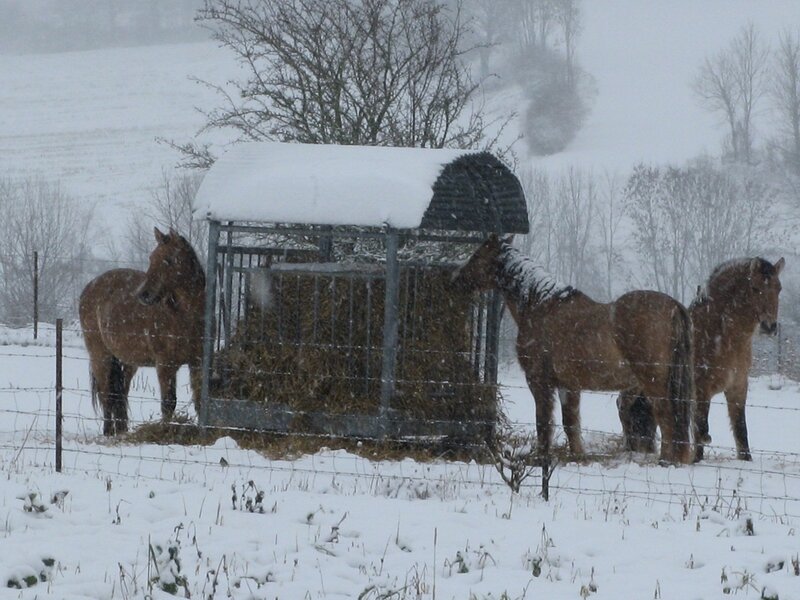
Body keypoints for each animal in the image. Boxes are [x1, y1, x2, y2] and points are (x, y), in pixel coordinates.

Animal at [79, 228, 206, 435]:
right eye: (151, 258)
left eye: (168, 260)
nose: (143, 295)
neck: (184, 317)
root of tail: (90, 286)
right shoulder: (165, 365)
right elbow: (168, 403)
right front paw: (164, 432)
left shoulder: (198, 361)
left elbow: (200, 400)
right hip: (101, 355)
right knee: (107, 395)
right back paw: (108, 432)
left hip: (127, 360)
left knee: (120, 394)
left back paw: (121, 431)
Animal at [453, 235, 695, 464]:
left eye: (478, 255)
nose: (457, 279)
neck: (541, 307)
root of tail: (673, 306)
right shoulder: (568, 386)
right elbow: (570, 423)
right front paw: (578, 455)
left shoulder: (539, 382)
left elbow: (544, 422)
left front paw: (541, 457)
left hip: (652, 382)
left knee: (666, 417)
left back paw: (666, 460)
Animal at [618, 256, 785, 462]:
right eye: (755, 287)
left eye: (778, 288)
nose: (770, 326)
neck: (722, 335)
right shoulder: (701, 389)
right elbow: (700, 427)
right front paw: (696, 458)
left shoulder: (738, 387)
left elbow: (740, 429)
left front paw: (746, 460)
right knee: (624, 405)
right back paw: (630, 447)